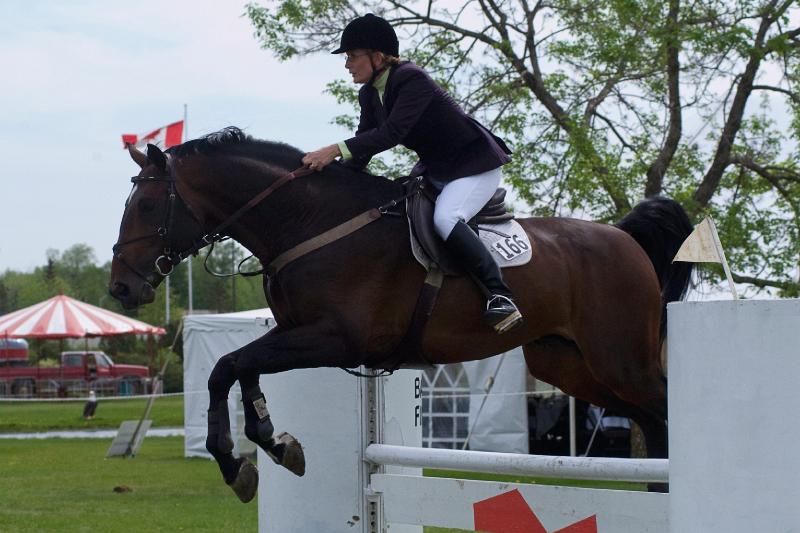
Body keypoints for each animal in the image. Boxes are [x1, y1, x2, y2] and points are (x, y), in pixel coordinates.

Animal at [109, 127, 692, 500]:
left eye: (145, 206)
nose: (121, 287)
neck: (309, 223)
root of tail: (624, 237)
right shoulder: (295, 333)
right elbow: (238, 368)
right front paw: (272, 446)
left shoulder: (333, 338)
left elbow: (226, 366)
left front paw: (237, 461)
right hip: (568, 363)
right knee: (649, 419)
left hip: (620, 358)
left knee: (662, 408)